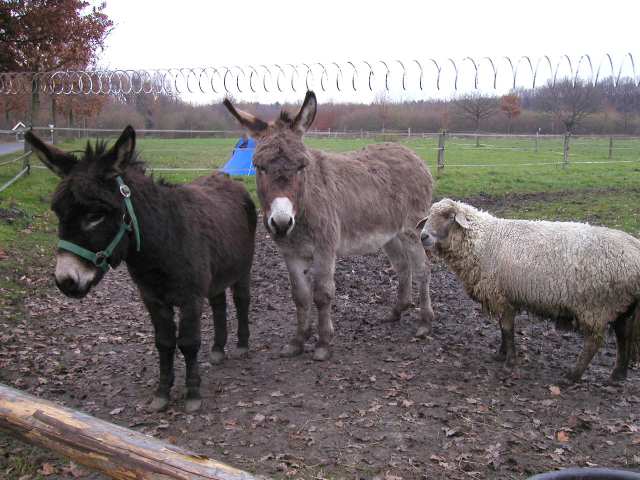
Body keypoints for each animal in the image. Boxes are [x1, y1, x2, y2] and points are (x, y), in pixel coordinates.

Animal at [25, 126, 257, 412]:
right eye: (58, 213)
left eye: (95, 216)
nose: (65, 281)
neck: (164, 241)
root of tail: (230, 180)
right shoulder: (152, 298)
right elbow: (164, 343)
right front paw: (162, 393)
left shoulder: (190, 298)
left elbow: (188, 343)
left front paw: (192, 394)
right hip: (216, 272)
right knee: (218, 303)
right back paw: (217, 349)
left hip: (243, 266)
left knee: (241, 299)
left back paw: (242, 345)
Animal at [223, 92, 434, 361]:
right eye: (259, 167)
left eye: (302, 167)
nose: (281, 223)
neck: (303, 208)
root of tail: (412, 154)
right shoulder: (291, 253)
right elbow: (300, 297)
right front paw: (297, 342)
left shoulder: (325, 249)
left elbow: (322, 294)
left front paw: (323, 343)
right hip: (390, 234)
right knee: (402, 266)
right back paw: (397, 311)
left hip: (411, 230)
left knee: (422, 269)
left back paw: (425, 323)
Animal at [418, 198, 640, 383]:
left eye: (449, 216)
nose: (423, 236)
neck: (484, 239)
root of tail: (635, 249)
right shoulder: (505, 296)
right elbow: (503, 328)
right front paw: (501, 354)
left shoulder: (502, 295)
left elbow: (508, 329)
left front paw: (510, 361)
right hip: (621, 304)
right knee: (623, 336)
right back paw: (618, 375)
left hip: (596, 305)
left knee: (594, 342)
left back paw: (572, 376)